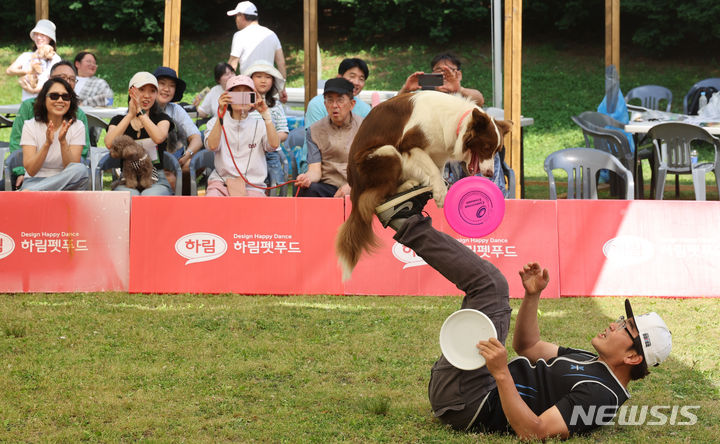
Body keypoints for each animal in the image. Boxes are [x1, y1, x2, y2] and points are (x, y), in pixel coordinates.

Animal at [334, 89, 510, 280]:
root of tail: (354, 186)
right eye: (486, 147)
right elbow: (431, 168)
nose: (490, 174)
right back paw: (405, 187)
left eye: (496, 150)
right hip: (387, 152)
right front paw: (441, 194)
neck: (457, 122)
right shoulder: (409, 145)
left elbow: (437, 169)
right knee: (379, 194)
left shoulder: (439, 153)